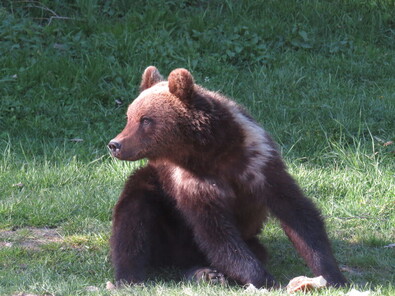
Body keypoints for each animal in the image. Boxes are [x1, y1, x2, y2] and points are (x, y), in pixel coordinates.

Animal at [107, 66, 346, 288]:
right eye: (129, 117)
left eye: (145, 119)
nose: (115, 144)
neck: (210, 150)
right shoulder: (190, 181)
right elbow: (216, 232)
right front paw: (265, 279)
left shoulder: (258, 162)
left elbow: (297, 212)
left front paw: (332, 275)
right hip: (164, 214)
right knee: (134, 213)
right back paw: (131, 277)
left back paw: (206, 273)